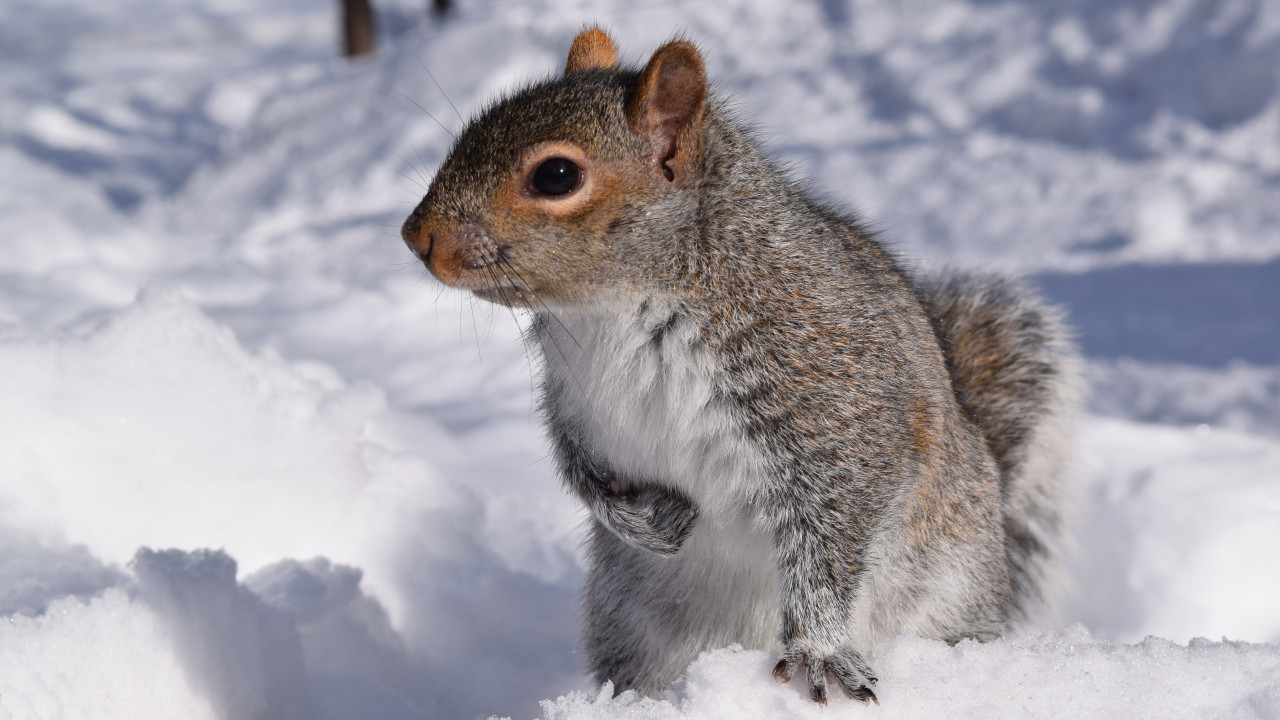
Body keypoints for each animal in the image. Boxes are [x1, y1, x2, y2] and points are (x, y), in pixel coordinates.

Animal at [401, 27, 1079, 705]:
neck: (612, 310)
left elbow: (832, 527)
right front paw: (645, 521)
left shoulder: (835, 397)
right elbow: (578, 469)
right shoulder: (572, 399)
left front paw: (819, 648)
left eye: (557, 175)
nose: (415, 236)